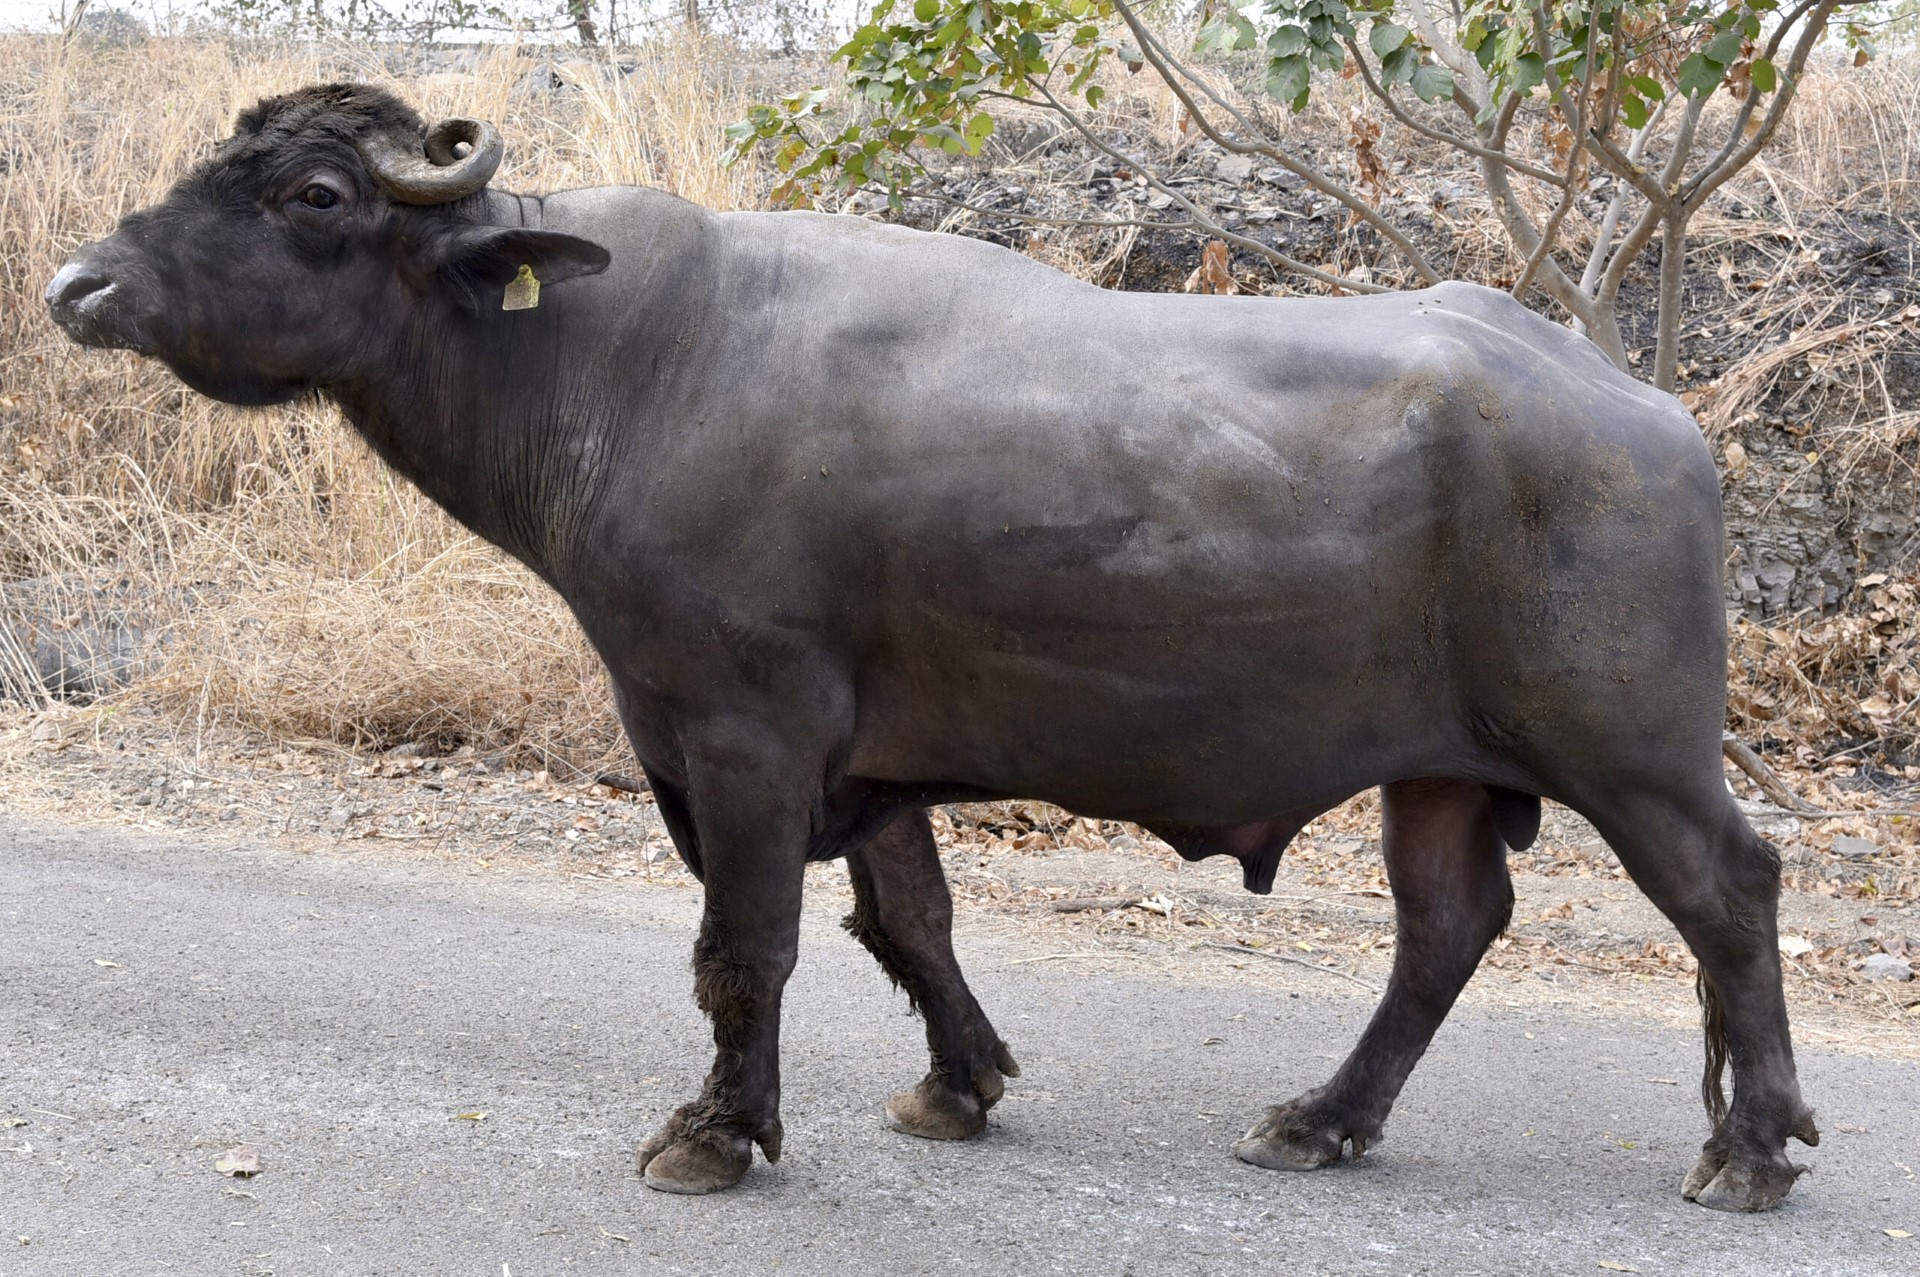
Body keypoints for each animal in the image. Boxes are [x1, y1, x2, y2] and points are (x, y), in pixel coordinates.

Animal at [45, 84, 1812, 1213]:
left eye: (314, 196)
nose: (78, 281)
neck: (618, 365)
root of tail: (1648, 411)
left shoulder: (741, 734)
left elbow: (745, 945)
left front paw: (718, 1130)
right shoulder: (865, 756)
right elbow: (908, 925)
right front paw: (960, 1084)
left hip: (1631, 752)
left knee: (1729, 894)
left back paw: (1754, 1145)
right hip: (1433, 770)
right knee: (1448, 926)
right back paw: (1324, 1118)